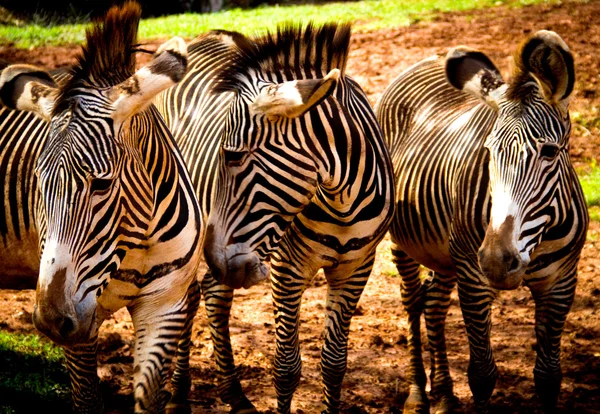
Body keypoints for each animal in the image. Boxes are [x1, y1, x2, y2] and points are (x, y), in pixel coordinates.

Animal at [0, 4, 203, 414]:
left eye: (102, 185)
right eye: (38, 183)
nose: (50, 322)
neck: (138, 244)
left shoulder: (165, 305)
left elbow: (150, 399)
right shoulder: (81, 322)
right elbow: (87, 400)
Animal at [202, 23, 396, 414]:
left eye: (232, 156)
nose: (215, 260)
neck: (342, 202)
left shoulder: (356, 268)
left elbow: (335, 362)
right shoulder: (286, 269)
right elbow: (286, 366)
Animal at [378, 30, 588, 412]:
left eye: (550, 152)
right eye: (488, 151)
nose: (495, 261)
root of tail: (432, 56)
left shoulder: (561, 282)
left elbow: (549, 377)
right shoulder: (473, 279)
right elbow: (482, 374)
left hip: (445, 254)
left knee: (433, 303)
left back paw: (445, 394)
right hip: (406, 242)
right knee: (413, 299)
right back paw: (417, 394)